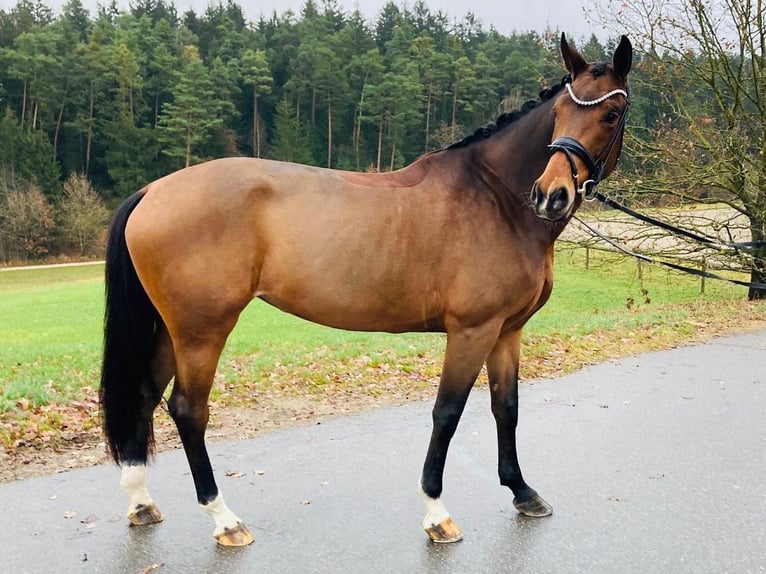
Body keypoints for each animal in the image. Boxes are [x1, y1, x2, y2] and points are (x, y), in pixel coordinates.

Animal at [99, 33, 632, 548]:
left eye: (609, 114)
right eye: (560, 113)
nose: (551, 195)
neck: (496, 198)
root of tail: (152, 191)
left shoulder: (507, 331)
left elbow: (507, 408)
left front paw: (522, 492)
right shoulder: (472, 331)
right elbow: (447, 412)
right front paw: (436, 512)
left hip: (172, 331)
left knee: (143, 396)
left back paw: (140, 503)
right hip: (202, 331)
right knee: (188, 411)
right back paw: (224, 520)